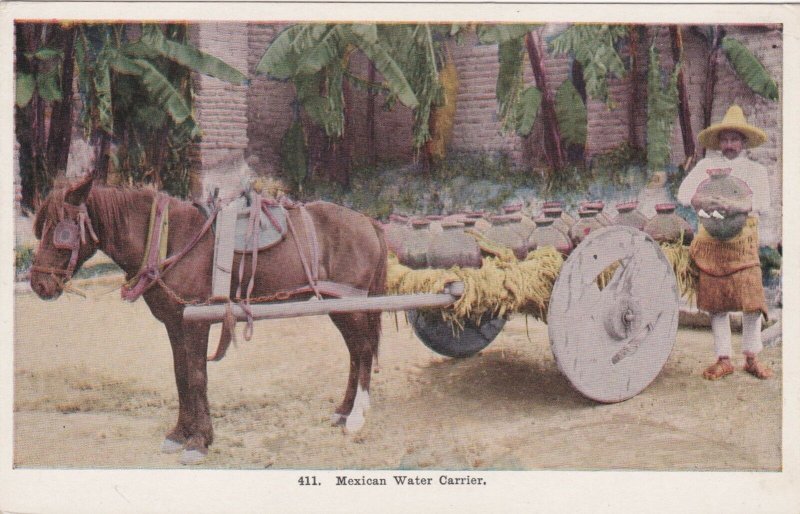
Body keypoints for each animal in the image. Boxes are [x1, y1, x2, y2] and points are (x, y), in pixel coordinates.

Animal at [32, 175, 390, 460]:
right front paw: (180, 434)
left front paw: (200, 441)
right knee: (356, 354)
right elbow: (180, 376)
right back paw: (343, 411)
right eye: (41, 228)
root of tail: (369, 223)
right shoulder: (176, 323)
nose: (38, 284)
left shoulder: (197, 323)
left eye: (62, 230)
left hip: (351, 305)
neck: (168, 238)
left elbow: (196, 378)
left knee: (363, 352)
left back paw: (356, 416)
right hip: (339, 306)